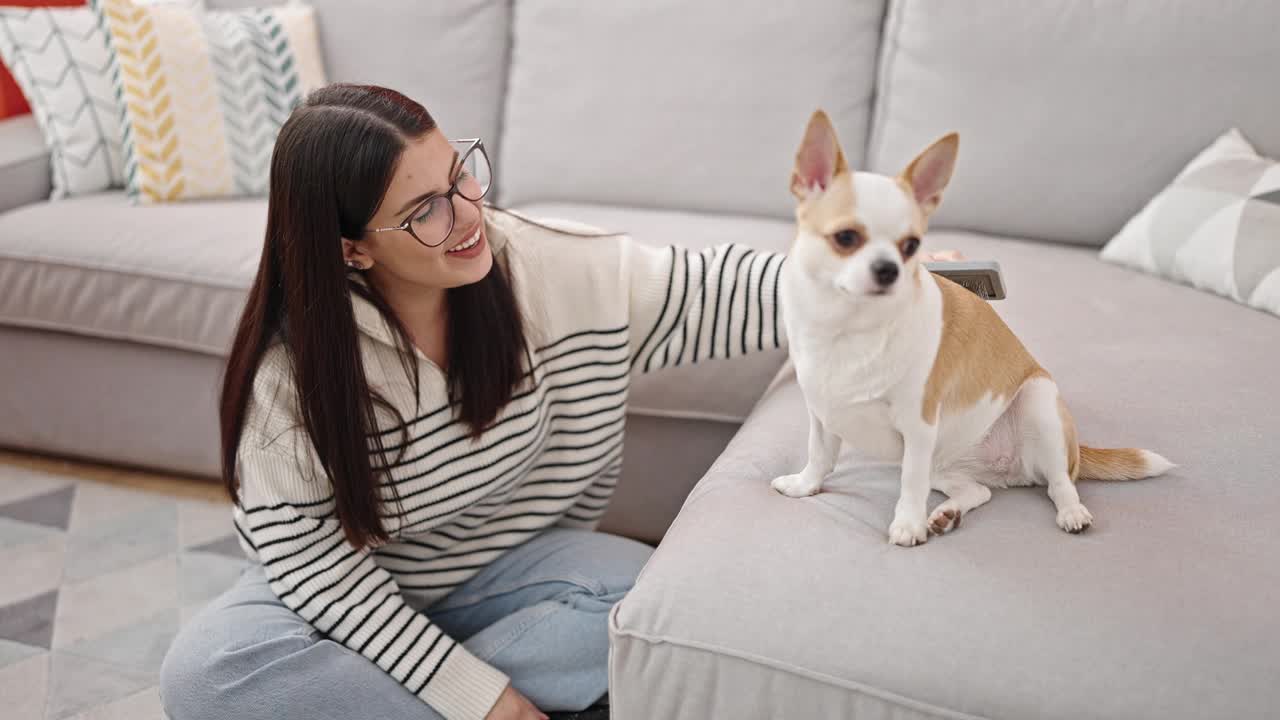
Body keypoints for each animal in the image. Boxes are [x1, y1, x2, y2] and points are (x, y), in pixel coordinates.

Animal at [768, 109, 1172, 543]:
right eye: (845, 238)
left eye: (911, 246)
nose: (890, 269)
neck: (849, 328)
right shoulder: (823, 414)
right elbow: (820, 454)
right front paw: (804, 486)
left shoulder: (919, 428)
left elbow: (909, 481)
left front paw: (907, 525)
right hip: (947, 464)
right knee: (978, 491)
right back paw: (947, 514)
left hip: (1039, 403)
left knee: (1059, 482)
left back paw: (1071, 512)